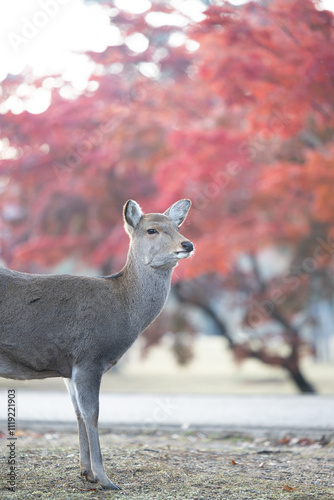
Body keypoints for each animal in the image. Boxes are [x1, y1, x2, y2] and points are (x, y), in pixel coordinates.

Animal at [0, 199, 193, 488]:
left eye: (178, 226)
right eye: (152, 230)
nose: (188, 244)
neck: (124, 309)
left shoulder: (69, 368)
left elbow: (78, 412)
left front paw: (86, 472)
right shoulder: (89, 357)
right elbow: (93, 413)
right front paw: (105, 478)